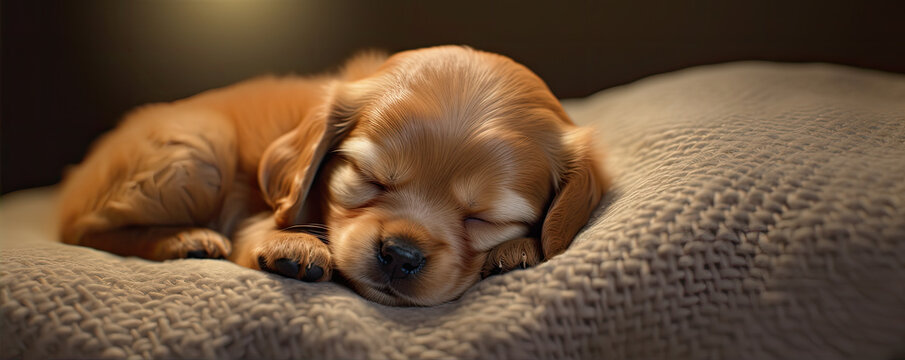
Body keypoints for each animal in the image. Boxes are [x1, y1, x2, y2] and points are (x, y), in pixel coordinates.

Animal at [58, 43, 608, 306]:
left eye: (484, 218)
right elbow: (264, 226)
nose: (400, 255)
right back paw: (185, 239)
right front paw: (292, 246)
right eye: (369, 177)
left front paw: (517, 250)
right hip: (199, 148)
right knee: (82, 231)